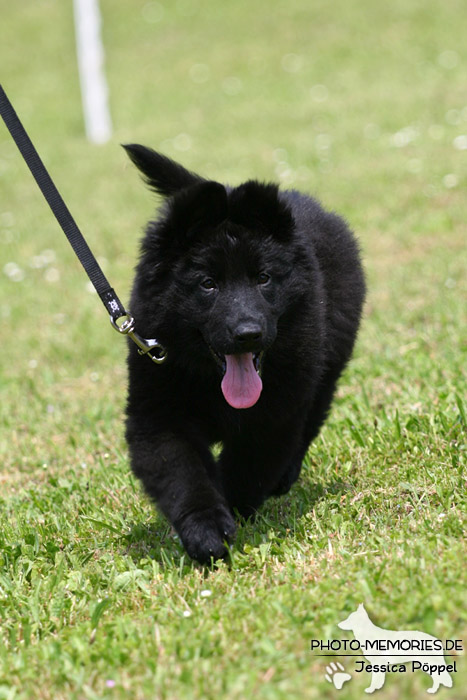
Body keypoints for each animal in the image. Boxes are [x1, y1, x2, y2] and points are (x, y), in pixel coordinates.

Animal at [123, 146, 366, 564]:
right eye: (208, 284)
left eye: (263, 278)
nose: (248, 333)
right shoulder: (157, 412)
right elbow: (183, 474)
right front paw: (205, 528)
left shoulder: (275, 411)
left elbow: (250, 467)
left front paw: (234, 509)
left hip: (327, 361)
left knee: (312, 418)